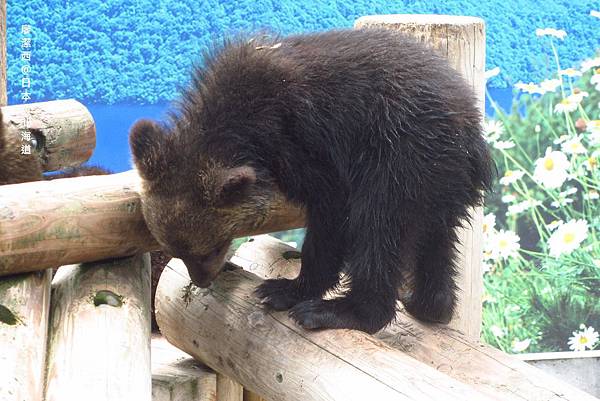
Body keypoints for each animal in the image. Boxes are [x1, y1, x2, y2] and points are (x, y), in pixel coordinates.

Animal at [129, 28, 494, 332]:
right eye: (174, 249)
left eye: (210, 248)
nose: (203, 279)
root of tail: (472, 132)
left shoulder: (306, 142)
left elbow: (332, 211)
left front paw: (287, 289)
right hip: (441, 180)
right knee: (436, 239)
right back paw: (430, 304)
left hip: (402, 155)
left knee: (378, 226)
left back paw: (342, 311)